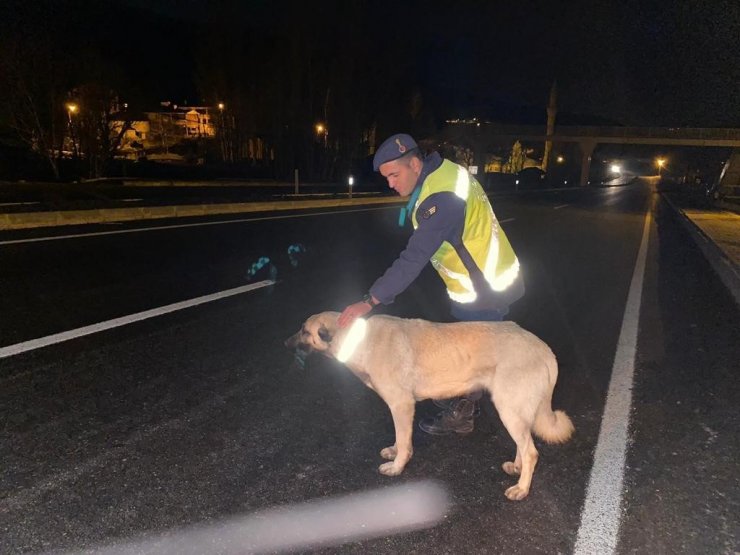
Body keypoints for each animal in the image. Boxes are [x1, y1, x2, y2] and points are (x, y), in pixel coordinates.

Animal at [286, 312, 576, 500]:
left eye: (304, 330)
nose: (284, 343)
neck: (355, 338)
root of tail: (545, 349)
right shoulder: (400, 408)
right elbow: (400, 439)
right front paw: (395, 453)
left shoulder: (401, 405)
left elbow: (404, 441)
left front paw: (398, 466)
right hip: (513, 410)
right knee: (523, 445)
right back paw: (516, 468)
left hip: (508, 408)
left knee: (531, 452)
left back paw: (522, 488)